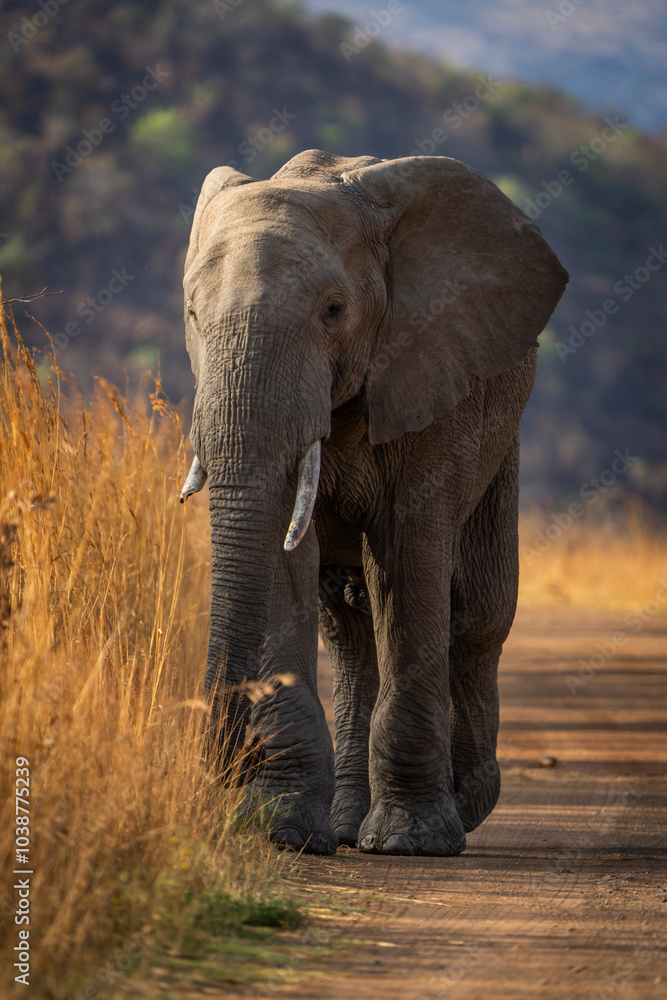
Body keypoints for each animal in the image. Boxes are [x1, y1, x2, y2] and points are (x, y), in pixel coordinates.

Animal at [180, 149, 568, 857]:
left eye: (334, 309)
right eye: (193, 313)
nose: (231, 763)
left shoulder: (436, 371)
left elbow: (410, 554)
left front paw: (413, 841)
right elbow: (287, 559)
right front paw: (282, 830)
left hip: (502, 431)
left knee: (478, 611)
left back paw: (465, 804)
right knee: (349, 626)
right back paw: (344, 825)